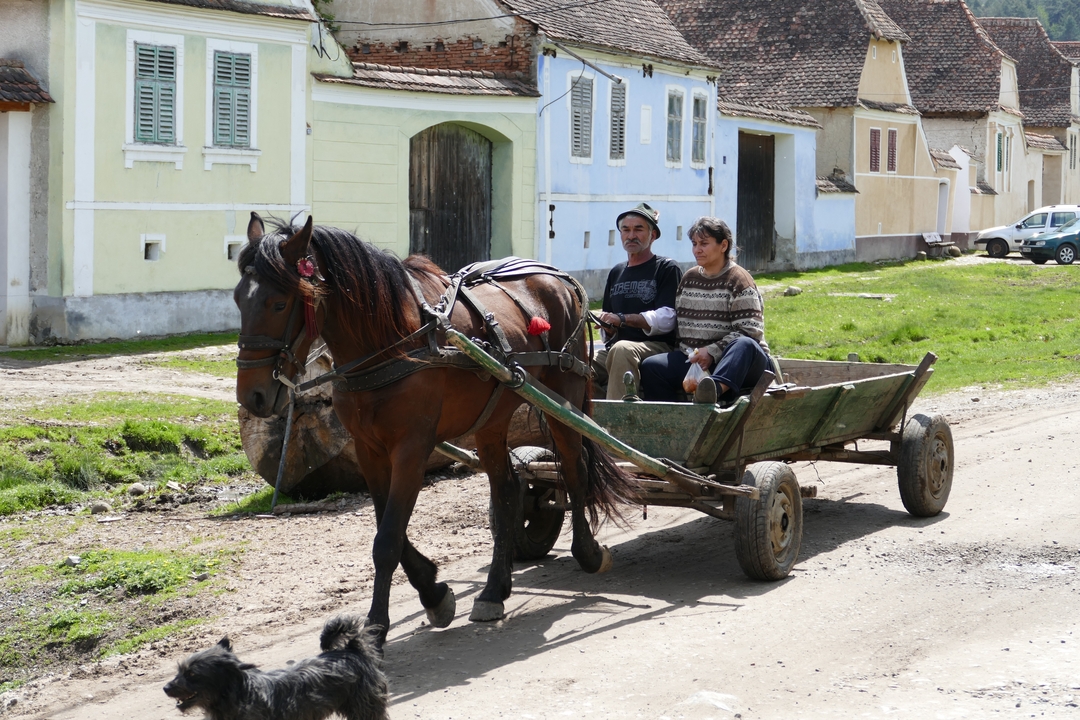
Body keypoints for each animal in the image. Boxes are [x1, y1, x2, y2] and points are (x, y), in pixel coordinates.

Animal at [233, 213, 635, 646]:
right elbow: (388, 527)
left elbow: (387, 540)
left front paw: (377, 625)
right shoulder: (370, 450)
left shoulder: (411, 448)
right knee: (508, 491)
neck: (393, 341)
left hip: (564, 398)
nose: (252, 396)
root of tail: (558, 278)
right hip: (492, 421)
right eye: (239, 299)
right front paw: (433, 591)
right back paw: (494, 590)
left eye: (279, 302)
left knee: (575, 469)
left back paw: (588, 552)